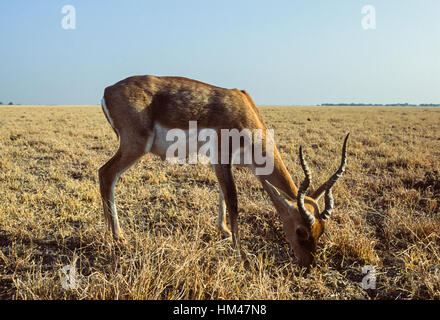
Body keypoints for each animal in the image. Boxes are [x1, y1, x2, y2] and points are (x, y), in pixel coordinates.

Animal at [98, 74, 348, 264]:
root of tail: (107, 90)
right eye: (300, 231)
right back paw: (118, 238)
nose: (308, 264)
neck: (244, 110)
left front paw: (224, 231)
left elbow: (222, 196)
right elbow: (234, 201)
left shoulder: (227, 163)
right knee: (106, 174)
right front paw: (241, 256)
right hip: (135, 146)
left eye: (321, 231)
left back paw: (111, 234)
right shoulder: (220, 158)